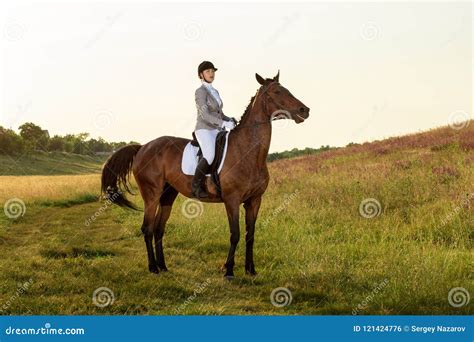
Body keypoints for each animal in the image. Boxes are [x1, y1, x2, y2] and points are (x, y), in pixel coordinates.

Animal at [100, 71, 310, 278]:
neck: (248, 151)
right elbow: (235, 234)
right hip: (151, 194)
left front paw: (250, 270)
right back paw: (153, 268)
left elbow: (250, 235)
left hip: (168, 195)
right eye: (276, 92)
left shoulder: (255, 200)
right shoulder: (232, 200)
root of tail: (143, 147)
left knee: (159, 229)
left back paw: (163, 266)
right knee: (148, 228)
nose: (304, 110)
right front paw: (228, 270)